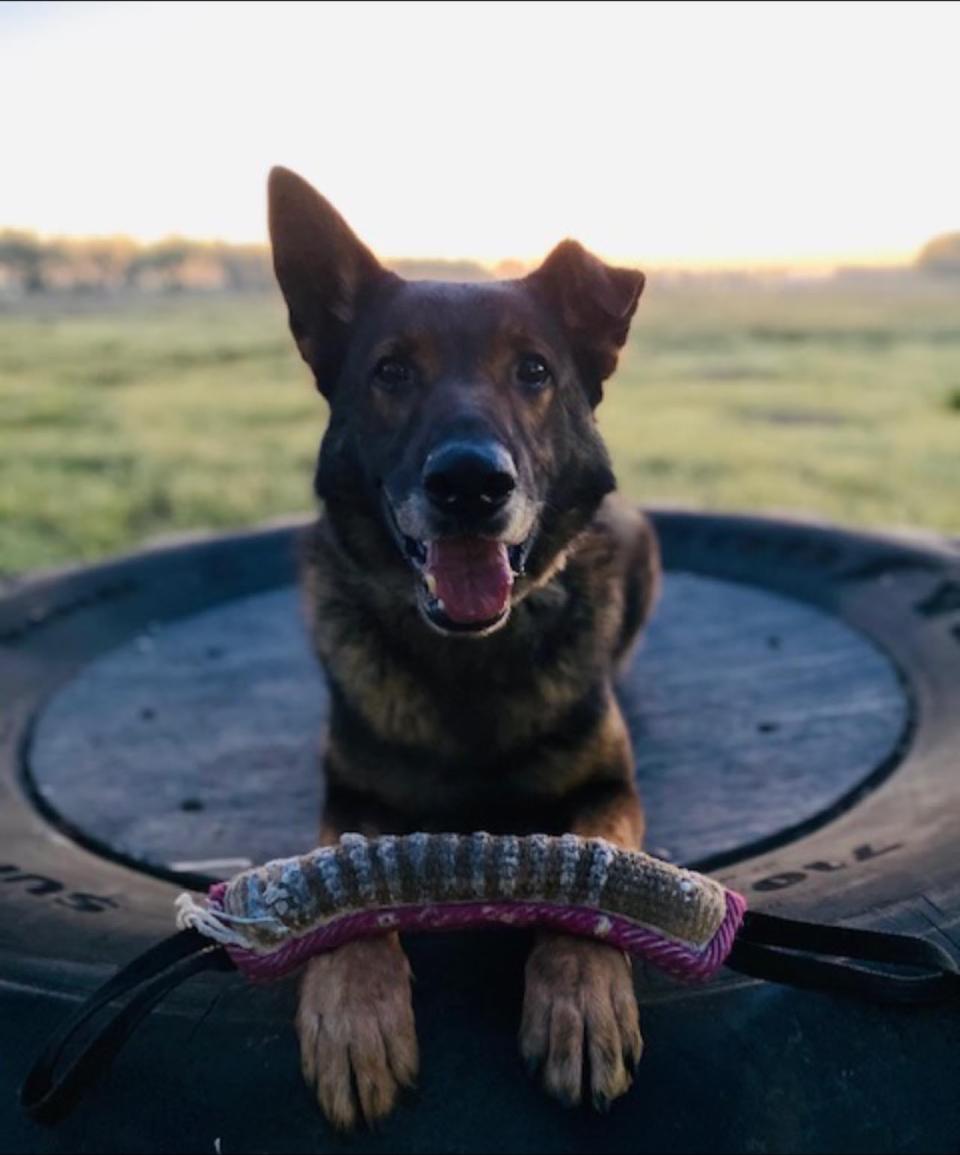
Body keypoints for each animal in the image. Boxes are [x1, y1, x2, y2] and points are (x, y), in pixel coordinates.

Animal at [268, 168, 660, 1127]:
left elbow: (593, 867)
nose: (470, 484)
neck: (469, 661)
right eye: (391, 372)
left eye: (534, 371)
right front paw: (353, 1012)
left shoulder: (608, 787)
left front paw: (581, 997)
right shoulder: (353, 793)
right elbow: (346, 880)